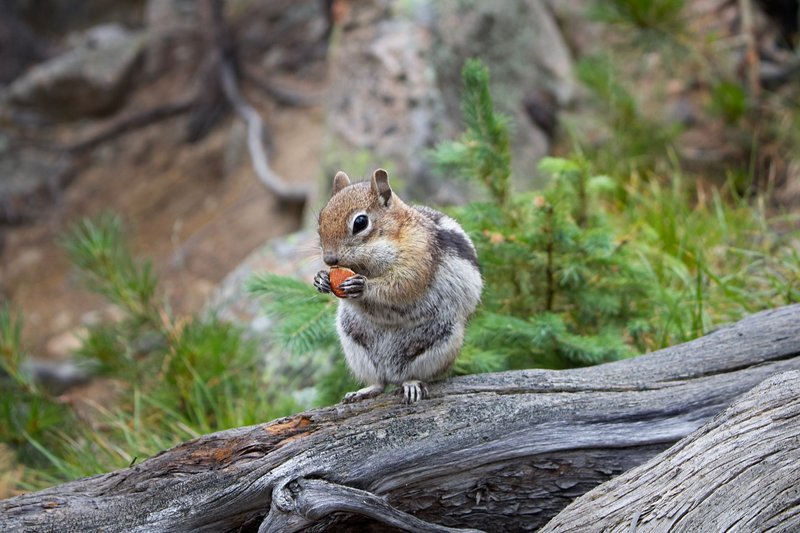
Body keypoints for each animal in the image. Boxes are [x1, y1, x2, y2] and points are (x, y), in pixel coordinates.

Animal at [313, 168, 482, 404]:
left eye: (360, 222)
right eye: (321, 218)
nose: (329, 259)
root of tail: (392, 372)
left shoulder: (418, 255)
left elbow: (402, 284)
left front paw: (362, 286)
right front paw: (320, 279)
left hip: (441, 341)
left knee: (412, 375)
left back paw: (411, 385)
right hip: (354, 342)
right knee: (379, 381)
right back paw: (364, 391)